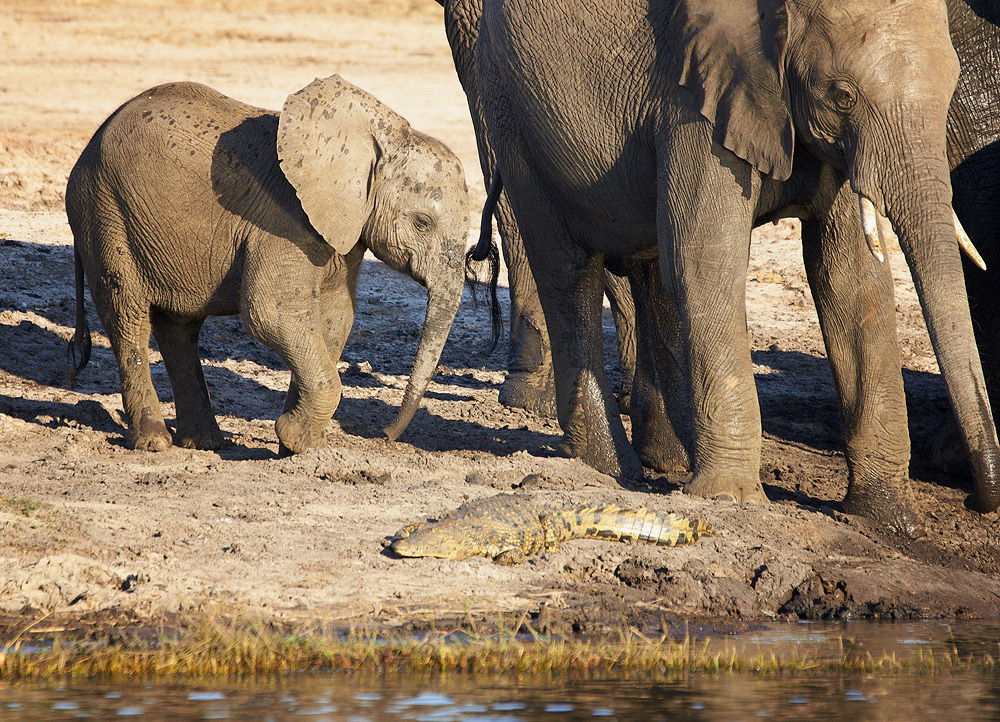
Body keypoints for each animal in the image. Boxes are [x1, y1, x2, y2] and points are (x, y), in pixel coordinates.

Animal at [65, 74, 484, 456]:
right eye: (422, 223)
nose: (385, 436)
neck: (379, 139)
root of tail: (88, 147)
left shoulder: (343, 232)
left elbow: (334, 319)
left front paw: (301, 445)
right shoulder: (283, 221)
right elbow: (272, 313)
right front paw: (297, 441)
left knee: (178, 329)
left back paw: (204, 442)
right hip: (104, 210)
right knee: (127, 315)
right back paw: (154, 442)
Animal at [476, 0, 1000, 528]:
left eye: (951, 90)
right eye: (842, 96)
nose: (976, 502)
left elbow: (851, 281)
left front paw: (886, 518)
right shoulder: (696, 104)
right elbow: (705, 262)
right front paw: (731, 499)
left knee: (650, 269)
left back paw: (670, 463)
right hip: (511, 111)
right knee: (568, 269)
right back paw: (611, 471)